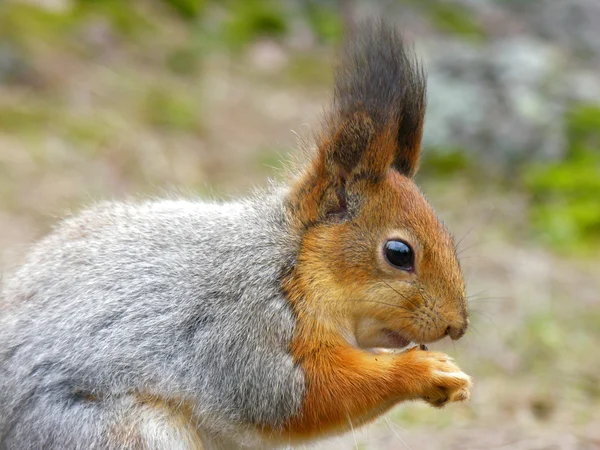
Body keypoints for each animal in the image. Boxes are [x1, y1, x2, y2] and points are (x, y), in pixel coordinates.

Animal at [0, 22, 472, 450]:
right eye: (398, 253)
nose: (457, 326)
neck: (288, 264)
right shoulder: (242, 330)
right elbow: (298, 396)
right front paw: (425, 372)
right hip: (121, 433)